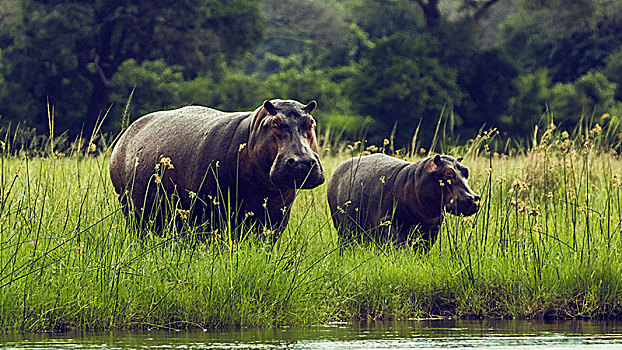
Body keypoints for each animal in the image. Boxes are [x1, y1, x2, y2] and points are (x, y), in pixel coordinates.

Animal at [109, 98, 326, 237]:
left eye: (311, 122)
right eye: (275, 122)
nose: (302, 162)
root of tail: (127, 132)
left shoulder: (276, 217)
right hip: (131, 210)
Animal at [330, 154, 480, 250]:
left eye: (466, 171)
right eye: (448, 173)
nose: (474, 198)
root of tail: (339, 167)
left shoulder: (433, 227)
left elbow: (423, 249)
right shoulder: (387, 221)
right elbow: (399, 244)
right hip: (342, 228)